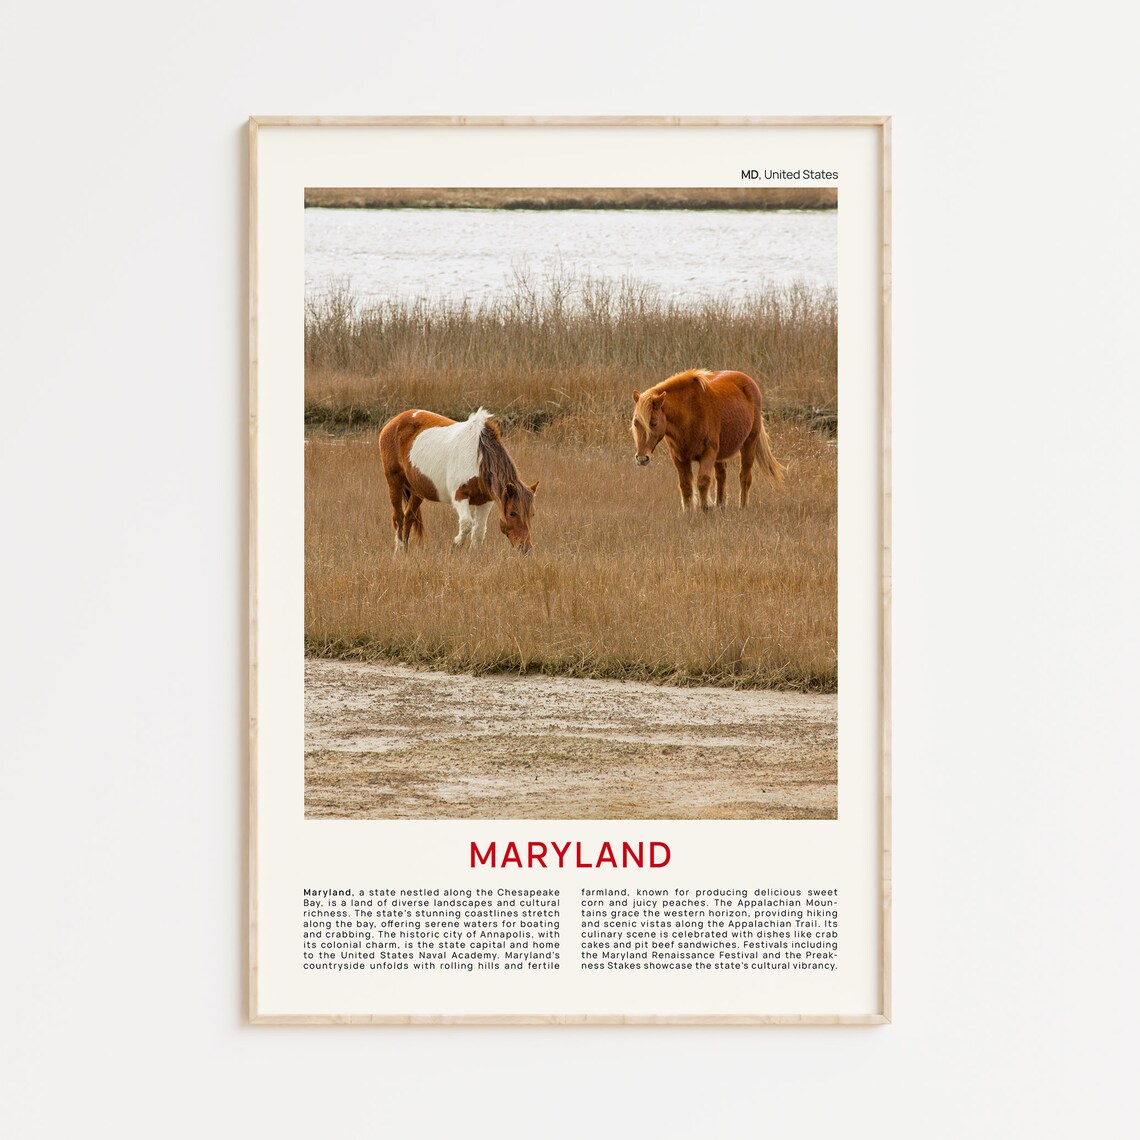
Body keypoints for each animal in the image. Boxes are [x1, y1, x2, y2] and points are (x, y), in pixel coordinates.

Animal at [378, 407, 539, 552]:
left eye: (532, 514)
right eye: (512, 513)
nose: (525, 548)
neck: (479, 459)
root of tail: (393, 422)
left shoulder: (486, 501)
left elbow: (479, 531)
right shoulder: (460, 496)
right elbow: (467, 524)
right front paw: (455, 545)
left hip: (417, 490)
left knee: (409, 516)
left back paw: (405, 551)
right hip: (394, 482)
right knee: (398, 517)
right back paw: (399, 551)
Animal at [631, 369, 785, 511]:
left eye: (654, 423)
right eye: (635, 423)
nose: (642, 458)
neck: (689, 413)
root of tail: (749, 382)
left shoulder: (708, 453)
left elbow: (703, 482)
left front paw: (705, 510)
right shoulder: (679, 457)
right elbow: (686, 485)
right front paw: (689, 513)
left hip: (749, 443)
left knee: (744, 477)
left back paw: (742, 507)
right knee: (721, 476)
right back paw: (720, 506)